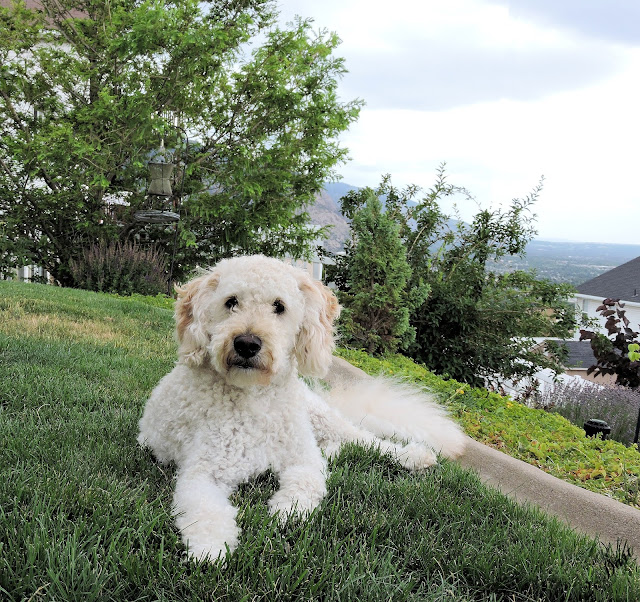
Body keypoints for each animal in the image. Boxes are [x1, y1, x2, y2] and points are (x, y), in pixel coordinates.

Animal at [137, 255, 466, 561]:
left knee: (366, 440)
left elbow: (306, 485)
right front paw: (211, 548)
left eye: (279, 306)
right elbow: (204, 511)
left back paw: (414, 456)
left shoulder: (303, 458)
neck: (256, 399)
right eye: (231, 302)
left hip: (321, 417)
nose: (247, 344)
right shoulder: (202, 473)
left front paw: (286, 512)